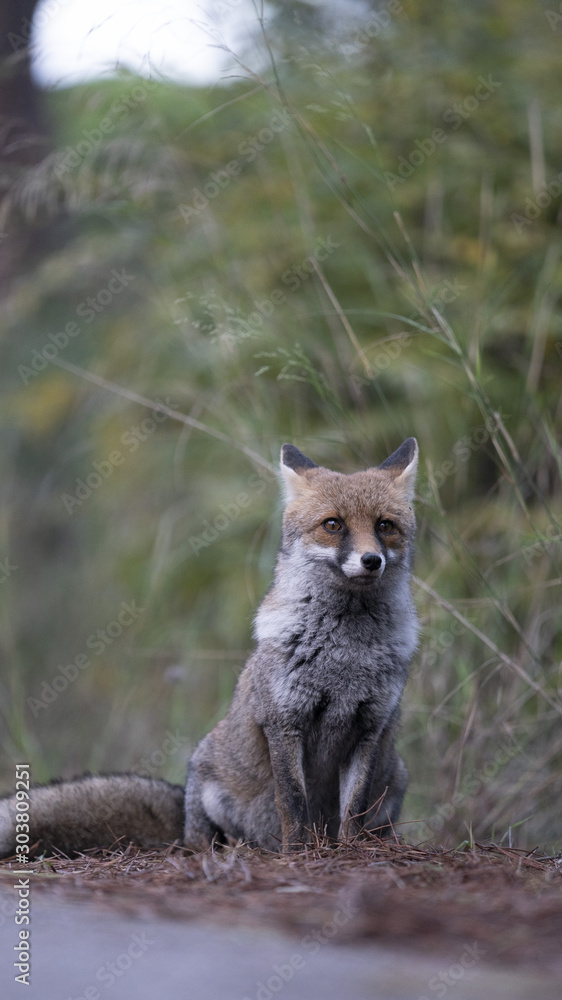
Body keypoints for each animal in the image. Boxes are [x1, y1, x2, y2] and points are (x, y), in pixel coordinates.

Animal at [0, 437, 419, 858]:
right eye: (333, 524)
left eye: (385, 526)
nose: (371, 560)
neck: (344, 653)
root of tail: (183, 814)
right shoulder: (283, 722)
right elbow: (293, 802)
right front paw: (298, 853)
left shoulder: (369, 728)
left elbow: (353, 809)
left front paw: (350, 851)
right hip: (208, 787)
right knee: (204, 841)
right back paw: (232, 849)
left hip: (397, 775)